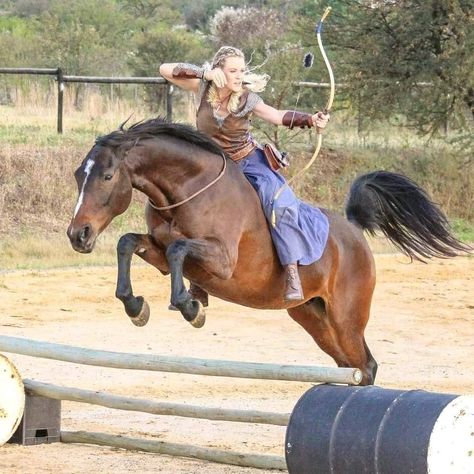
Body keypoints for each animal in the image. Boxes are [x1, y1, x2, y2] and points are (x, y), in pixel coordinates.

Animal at [67, 117, 470, 386]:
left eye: (107, 176)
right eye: (77, 175)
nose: (77, 235)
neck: (188, 189)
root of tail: (353, 230)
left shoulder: (222, 262)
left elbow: (180, 249)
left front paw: (191, 307)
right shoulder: (158, 251)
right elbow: (128, 242)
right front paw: (136, 306)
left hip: (346, 318)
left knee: (366, 366)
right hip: (312, 317)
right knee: (349, 365)